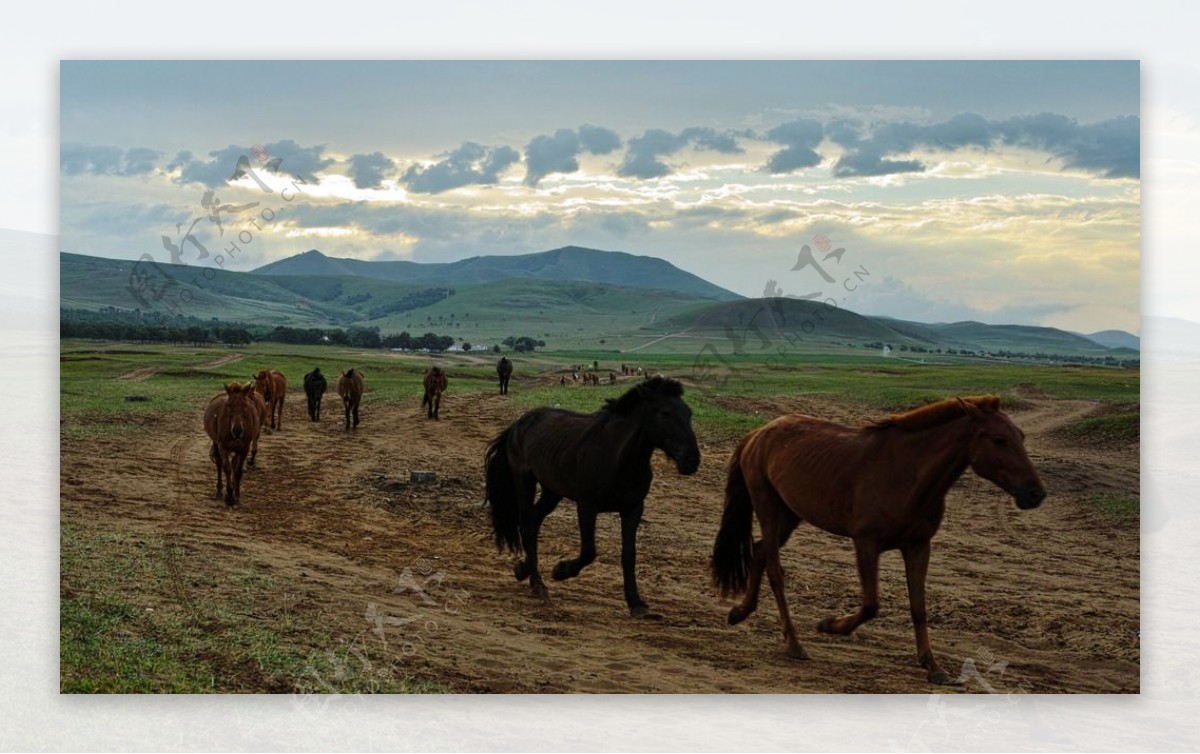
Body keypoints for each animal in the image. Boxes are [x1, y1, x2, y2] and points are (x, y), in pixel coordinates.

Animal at [482, 374, 700, 614]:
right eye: (665, 413)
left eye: (689, 414)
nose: (692, 460)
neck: (616, 456)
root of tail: (518, 424)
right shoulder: (587, 506)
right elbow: (589, 551)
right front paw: (561, 570)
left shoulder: (633, 508)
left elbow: (629, 554)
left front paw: (635, 602)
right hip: (525, 483)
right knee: (527, 524)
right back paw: (538, 584)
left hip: (552, 491)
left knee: (534, 519)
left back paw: (524, 571)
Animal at [710, 393, 1041, 681]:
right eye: (999, 439)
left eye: (1022, 437)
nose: (1036, 493)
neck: (908, 475)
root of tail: (759, 432)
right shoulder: (866, 543)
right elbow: (871, 604)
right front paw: (829, 625)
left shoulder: (919, 546)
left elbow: (918, 606)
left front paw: (932, 666)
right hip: (767, 507)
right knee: (775, 571)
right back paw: (793, 642)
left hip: (790, 514)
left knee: (759, 551)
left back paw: (740, 612)